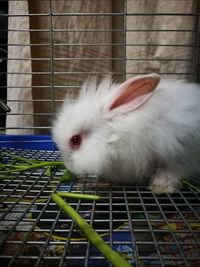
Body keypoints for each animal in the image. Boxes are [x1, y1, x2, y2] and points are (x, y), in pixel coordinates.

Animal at [52, 74, 200, 195]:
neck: (114, 133)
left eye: (75, 140)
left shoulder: (180, 150)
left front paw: (161, 186)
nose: (69, 167)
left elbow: (176, 169)